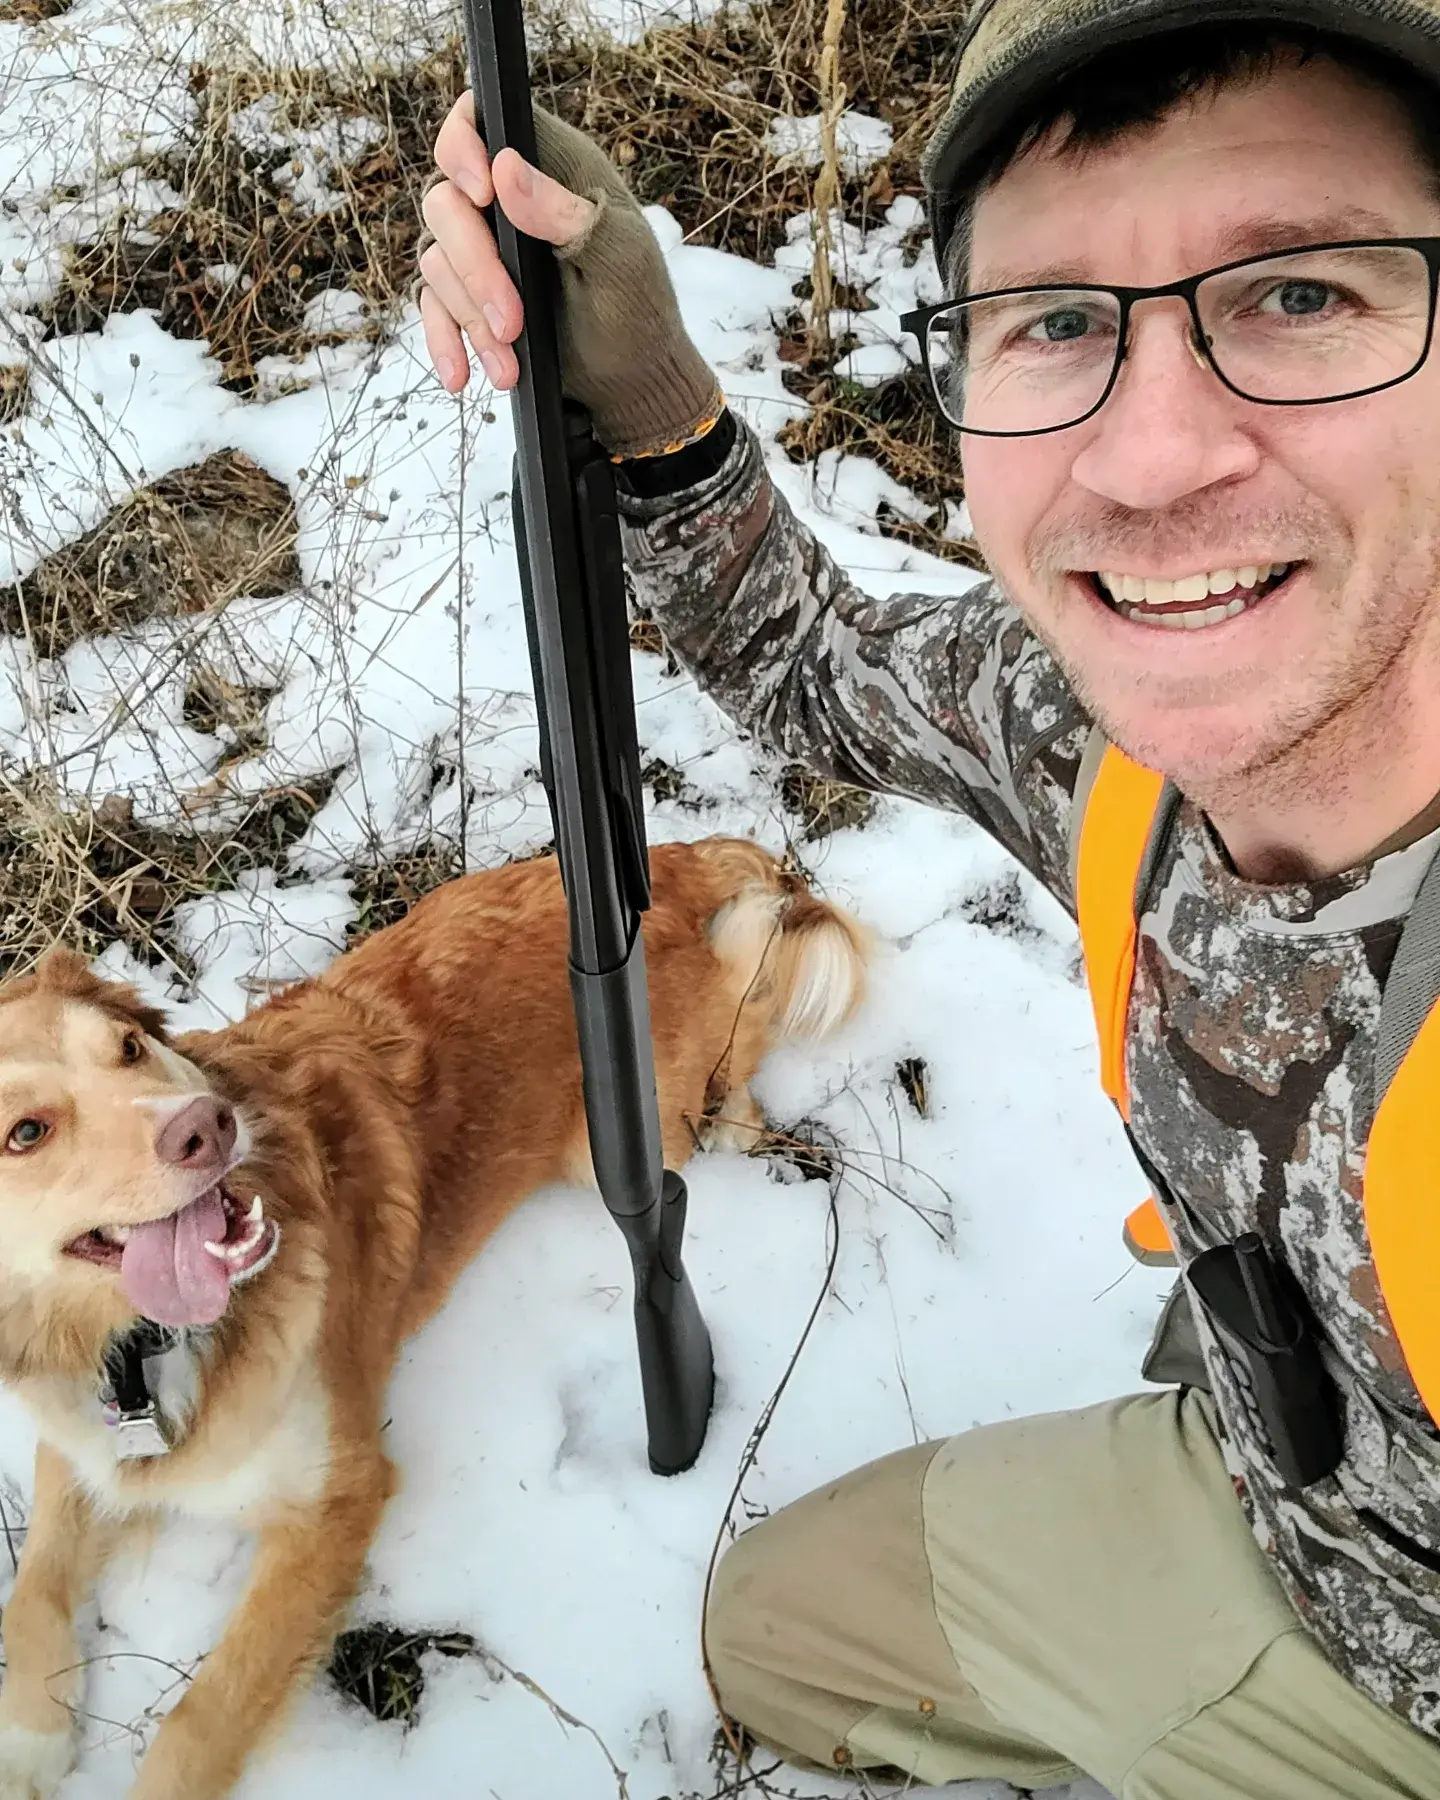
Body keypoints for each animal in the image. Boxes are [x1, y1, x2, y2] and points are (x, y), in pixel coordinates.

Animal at [0, 842, 867, 1800]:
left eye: (129, 1048)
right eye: (26, 1133)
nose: (206, 1128)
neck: (145, 1346)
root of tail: (691, 859)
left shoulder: (333, 1504)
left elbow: (201, 1721)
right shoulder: (83, 1447)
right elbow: (31, 1592)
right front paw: (29, 1739)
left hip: (634, 1130)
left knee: (735, 1066)